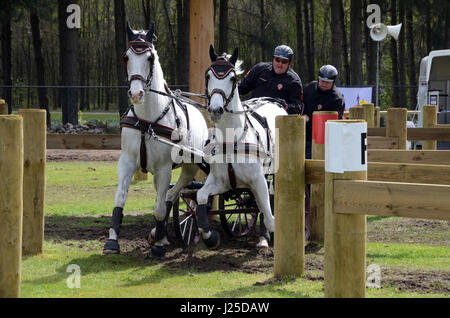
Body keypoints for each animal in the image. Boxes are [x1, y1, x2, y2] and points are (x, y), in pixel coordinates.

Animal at [104, 21, 210, 256]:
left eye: (149, 58)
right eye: (126, 57)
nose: (136, 94)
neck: (148, 121)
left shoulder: (164, 168)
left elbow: (160, 209)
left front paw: (159, 245)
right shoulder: (127, 162)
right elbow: (119, 200)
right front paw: (112, 242)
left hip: (189, 166)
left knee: (171, 196)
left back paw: (160, 235)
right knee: (169, 196)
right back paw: (158, 234)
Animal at [197, 45, 288, 248]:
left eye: (232, 78)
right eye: (207, 75)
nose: (215, 110)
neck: (233, 141)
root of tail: (274, 102)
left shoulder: (259, 181)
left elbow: (269, 216)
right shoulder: (220, 182)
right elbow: (200, 196)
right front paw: (210, 237)